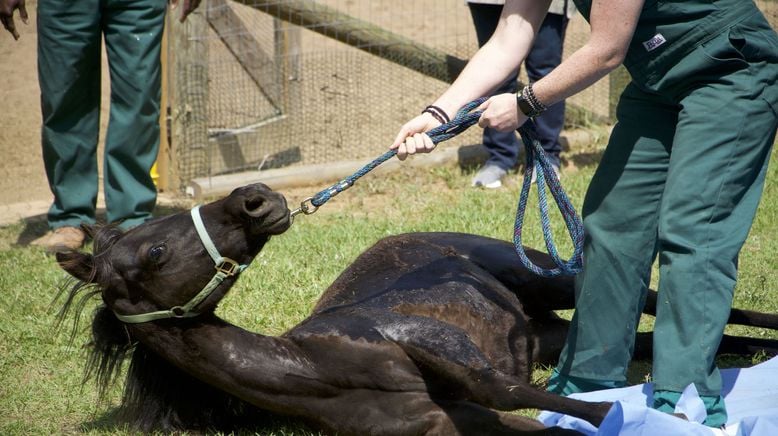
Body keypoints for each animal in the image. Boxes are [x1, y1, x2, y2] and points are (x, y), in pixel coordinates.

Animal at [57, 182, 776, 434]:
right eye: (153, 250)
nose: (256, 198)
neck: (318, 372)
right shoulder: (463, 424)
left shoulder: (456, 366)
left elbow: (511, 391)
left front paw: (634, 416)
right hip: (548, 332)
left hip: (552, 283)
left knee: (713, 310)